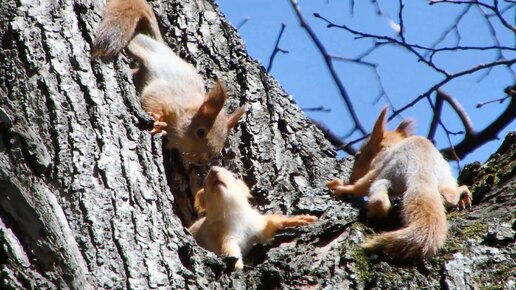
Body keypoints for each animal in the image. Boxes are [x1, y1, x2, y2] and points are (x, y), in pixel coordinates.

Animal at [91, 0, 247, 164]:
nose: (201, 161)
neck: (186, 109)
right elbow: (150, 99)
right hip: (144, 48)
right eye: (200, 131)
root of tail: (164, 48)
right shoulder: (166, 94)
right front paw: (158, 123)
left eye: (222, 142)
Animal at [189, 168, 318, 270]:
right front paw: (238, 265)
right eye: (204, 185)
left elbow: (268, 230)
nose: (214, 170)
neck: (232, 213)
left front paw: (295, 220)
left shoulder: (253, 225)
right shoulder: (217, 234)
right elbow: (229, 249)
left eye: (235, 176)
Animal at [326, 107, 472, 260]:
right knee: (449, 196)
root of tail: (422, 175)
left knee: (380, 201)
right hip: (445, 181)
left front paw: (344, 186)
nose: (352, 177)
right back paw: (463, 193)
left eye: (358, 156)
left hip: (389, 178)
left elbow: (363, 185)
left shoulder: (379, 165)